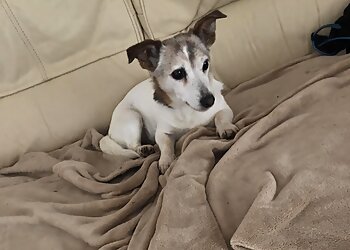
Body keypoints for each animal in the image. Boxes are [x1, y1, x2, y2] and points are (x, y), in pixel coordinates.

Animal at [100, 10, 239, 174]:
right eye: (178, 73)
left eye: (205, 64)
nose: (209, 100)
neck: (188, 110)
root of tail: (109, 132)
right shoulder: (162, 132)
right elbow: (166, 145)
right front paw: (166, 160)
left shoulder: (224, 109)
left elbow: (220, 117)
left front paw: (226, 128)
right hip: (132, 117)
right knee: (131, 146)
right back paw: (143, 149)